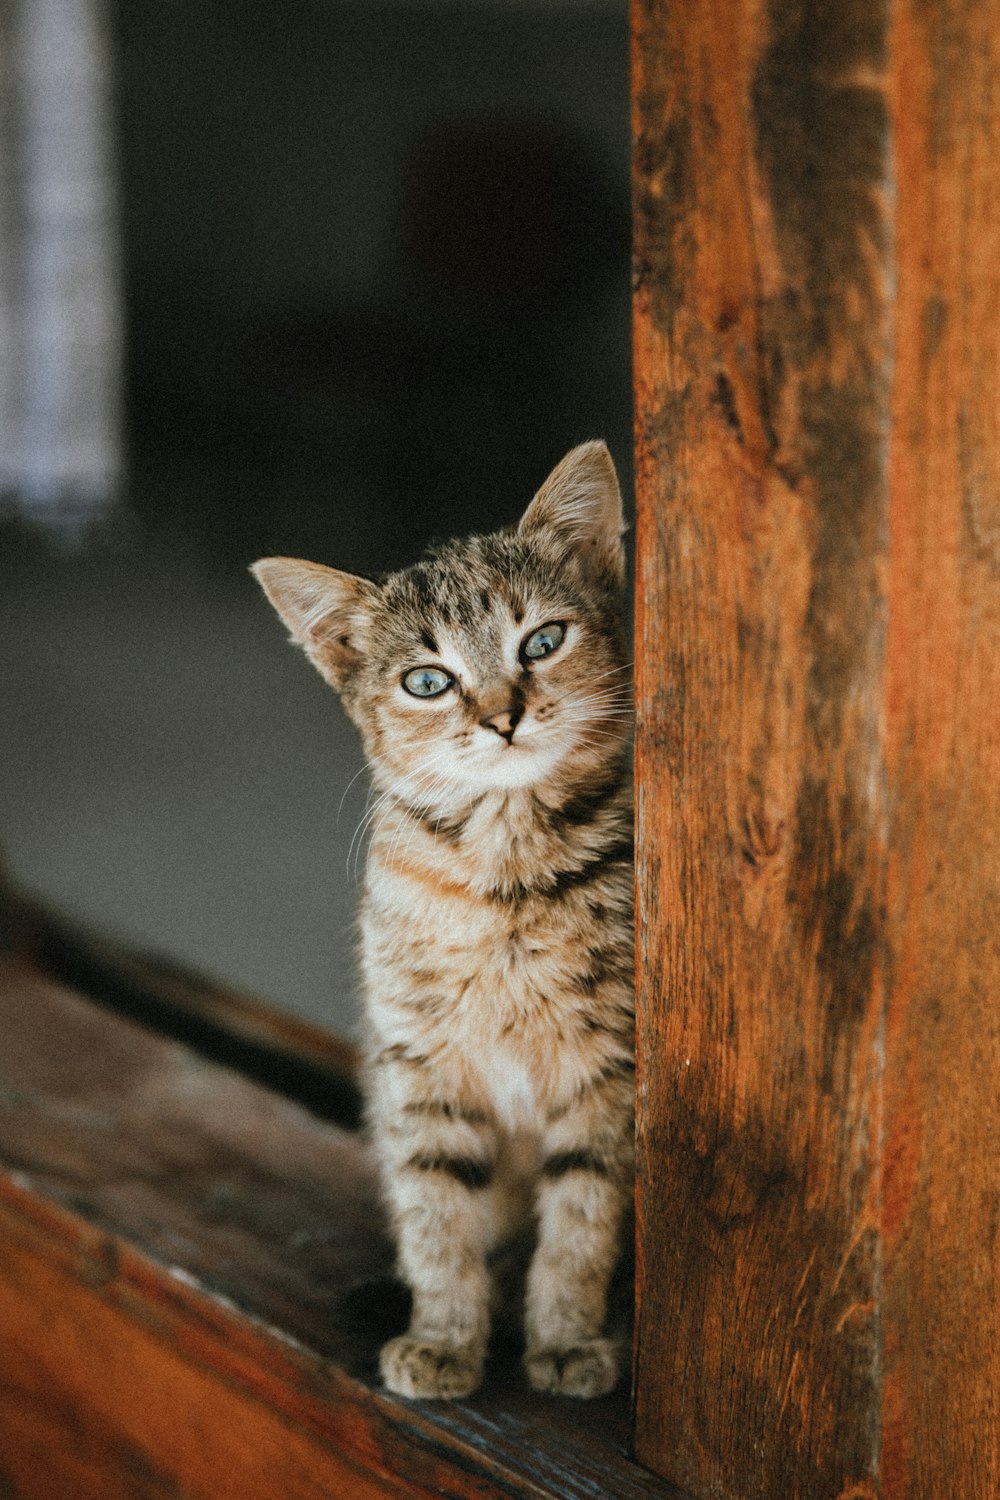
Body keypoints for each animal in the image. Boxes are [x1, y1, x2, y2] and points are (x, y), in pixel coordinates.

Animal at [248, 438, 632, 1398]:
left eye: (543, 640)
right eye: (427, 681)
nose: (502, 716)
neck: (507, 874)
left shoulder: (607, 1076)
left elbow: (581, 1224)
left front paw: (567, 1336)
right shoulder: (421, 1074)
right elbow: (437, 1218)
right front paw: (447, 1336)